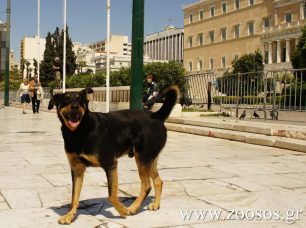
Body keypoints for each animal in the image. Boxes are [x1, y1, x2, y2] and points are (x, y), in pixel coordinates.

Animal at [47, 84, 179, 224]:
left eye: (80, 100)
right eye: (66, 100)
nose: (75, 106)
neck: (79, 131)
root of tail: (157, 115)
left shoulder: (110, 164)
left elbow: (111, 195)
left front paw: (122, 211)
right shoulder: (77, 169)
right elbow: (74, 197)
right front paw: (70, 215)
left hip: (142, 158)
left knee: (147, 185)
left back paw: (133, 208)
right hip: (149, 158)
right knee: (158, 182)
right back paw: (156, 204)